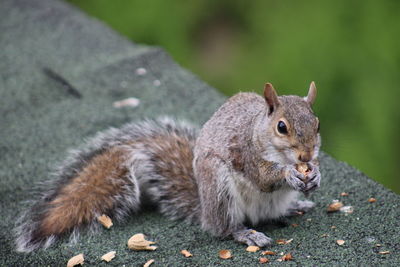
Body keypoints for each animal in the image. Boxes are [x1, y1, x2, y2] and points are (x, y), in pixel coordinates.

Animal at [14, 82, 322, 253]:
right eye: (281, 127)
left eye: (317, 124)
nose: (306, 154)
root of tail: (204, 211)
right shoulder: (246, 152)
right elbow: (263, 177)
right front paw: (289, 174)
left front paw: (315, 174)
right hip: (219, 189)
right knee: (224, 228)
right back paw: (245, 233)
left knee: (271, 212)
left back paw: (296, 206)